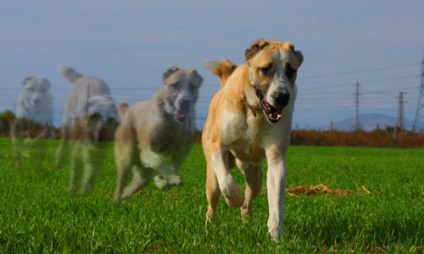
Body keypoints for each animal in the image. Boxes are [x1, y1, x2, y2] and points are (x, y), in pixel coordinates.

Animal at [114, 65, 202, 202]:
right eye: (175, 85)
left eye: (193, 86)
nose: (185, 102)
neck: (172, 123)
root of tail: (126, 111)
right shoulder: (147, 151)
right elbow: (159, 161)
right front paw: (172, 179)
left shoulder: (183, 151)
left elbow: (174, 166)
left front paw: (162, 181)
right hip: (126, 157)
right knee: (120, 184)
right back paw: (116, 200)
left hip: (142, 172)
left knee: (139, 181)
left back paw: (124, 198)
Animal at [202, 38, 302, 241]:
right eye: (265, 69)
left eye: (290, 70)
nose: (282, 97)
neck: (255, 111)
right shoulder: (216, 145)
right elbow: (227, 182)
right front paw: (235, 198)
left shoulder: (276, 157)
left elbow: (275, 199)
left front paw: (276, 237)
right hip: (212, 177)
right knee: (213, 199)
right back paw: (211, 226)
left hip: (254, 175)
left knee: (250, 197)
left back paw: (247, 220)